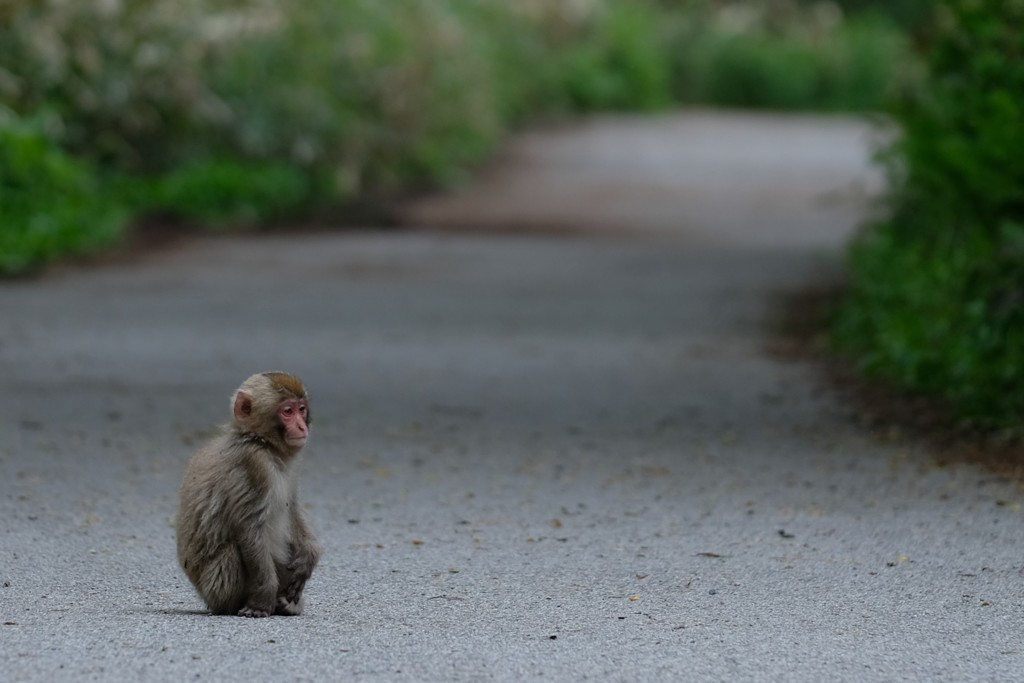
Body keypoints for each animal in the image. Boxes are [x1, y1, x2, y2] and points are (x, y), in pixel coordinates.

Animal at [176, 374, 319, 618]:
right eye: (287, 411)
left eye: (301, 409)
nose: (301, 426)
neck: (260, 442)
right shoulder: (253, 464)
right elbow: (250, 528)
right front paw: (261, 603)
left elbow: (292, 510)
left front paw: (309, 558)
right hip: (218, 589)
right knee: (233, 553)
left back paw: (288, 604)